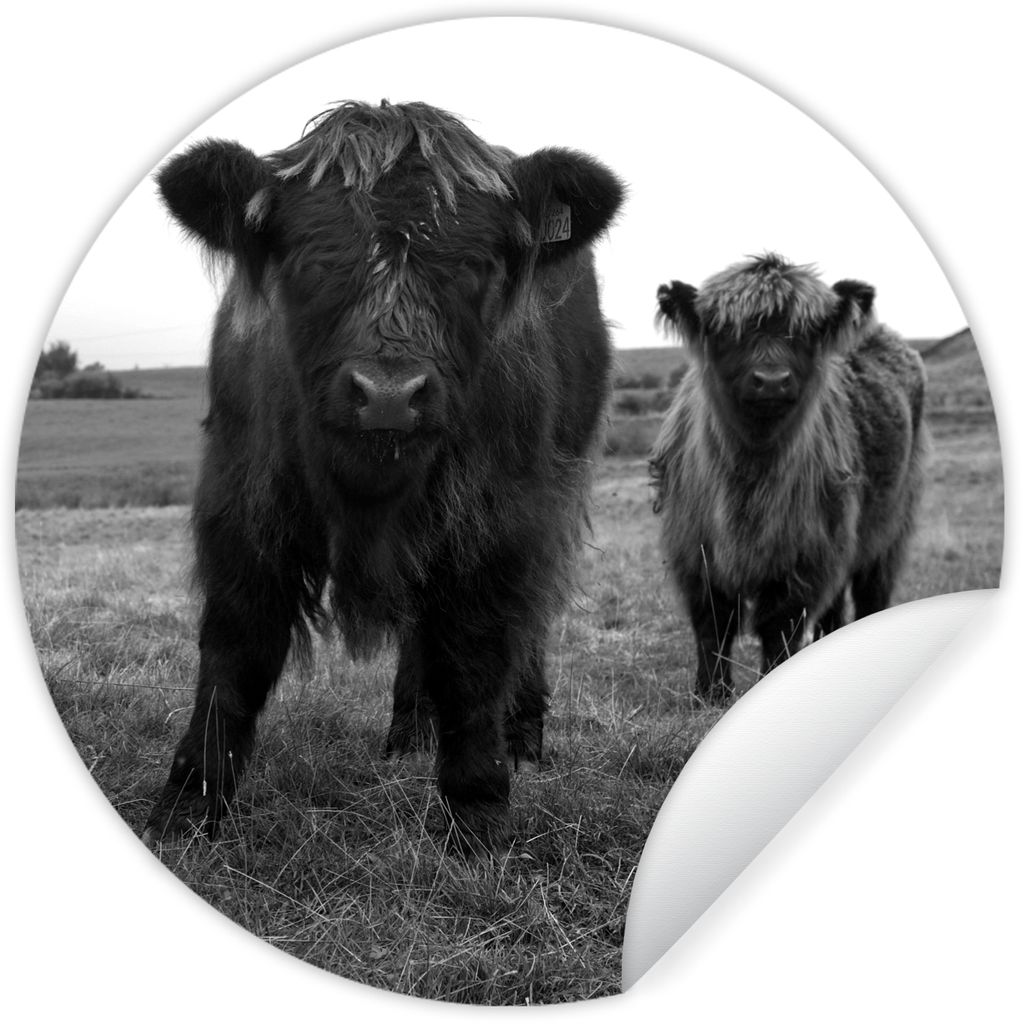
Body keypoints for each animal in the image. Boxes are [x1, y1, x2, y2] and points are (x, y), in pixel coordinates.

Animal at [143, 100, 624, 853]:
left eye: (475, 266)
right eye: (310, 261)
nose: (390, 395)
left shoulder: (501, 520)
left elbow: (477, 653)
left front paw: (477, 809)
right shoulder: (241, 502)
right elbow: (234, 648)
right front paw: (191, 802)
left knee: (528, 621)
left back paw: (521, 737)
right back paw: (409, 730)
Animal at [650, 253, 927, 702]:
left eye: (806, 332)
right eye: (726, 331)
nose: (771, 380)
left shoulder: (804, 551)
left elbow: (780, 624)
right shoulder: (693, 547)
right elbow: (713, 622)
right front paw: (710, 692)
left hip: (891, 520)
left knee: (872, 589)